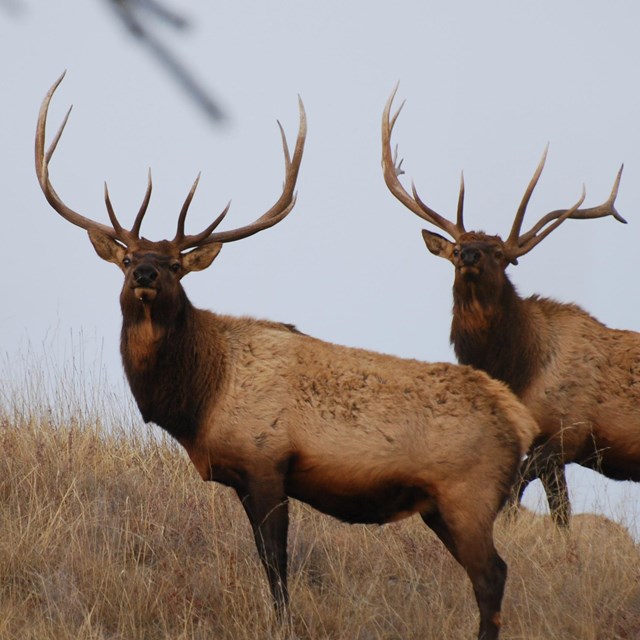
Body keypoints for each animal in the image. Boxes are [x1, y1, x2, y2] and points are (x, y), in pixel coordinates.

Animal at [36, 72, 540, 636]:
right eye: (126, 259)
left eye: (176, 265)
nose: (145, 272)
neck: (198, 400)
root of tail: (518, 419)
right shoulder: (242, 476)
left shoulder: (266, 461)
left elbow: (275, 563)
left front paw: (281, 623)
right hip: (443, 505)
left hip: (469, 493)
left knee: (492, 574)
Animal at [380, 87, 636, 528]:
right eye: (455, 248)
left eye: (499, 253)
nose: (468, 254)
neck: (519, 370)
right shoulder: (548, 446)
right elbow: (559, 513)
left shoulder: (569, 431)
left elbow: (519, 493)